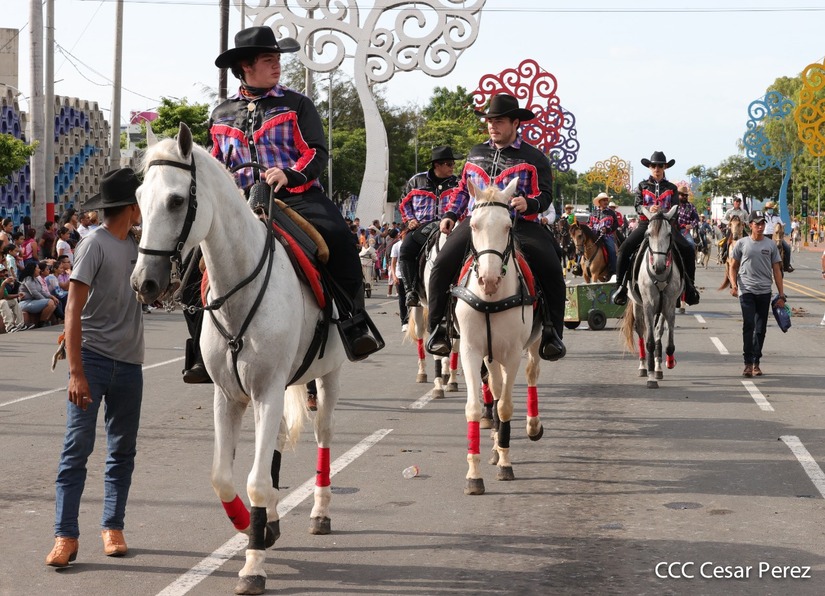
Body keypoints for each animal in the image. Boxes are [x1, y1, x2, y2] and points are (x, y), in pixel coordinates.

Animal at [130, 124, 347, 596]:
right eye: (138, 197)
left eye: (177, 200)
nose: (143, 283)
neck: (240, 288)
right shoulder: (229, 396)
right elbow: (225, 477)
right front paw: (251, 526)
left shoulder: (266, 391)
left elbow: (256, 482)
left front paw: (253, 565)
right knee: (277, 443)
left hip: (328, 375)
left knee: (323, 434)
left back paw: (321, 512)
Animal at [452, 178, 544, 495]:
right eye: (474, 225)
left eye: (507, 226)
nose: (489, 280)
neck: (491, 299)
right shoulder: (470, 350)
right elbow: (474, 406)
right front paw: (474, 474)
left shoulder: (513, 353)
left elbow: (505, 405)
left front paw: (505, 462)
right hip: (490, 354)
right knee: (494, 381)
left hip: (533, 344)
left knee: (531, 374)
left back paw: (532, 425)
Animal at [619, 206, 683, 389]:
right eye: (648, 234)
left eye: (669, 234)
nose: (659, 266)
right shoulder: (648, 305)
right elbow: (649, 342)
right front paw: (651, 377)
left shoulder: (669, 306)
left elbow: (667, 341)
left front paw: (666, 363)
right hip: (637, 305)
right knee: (641, 331)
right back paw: (643, 366)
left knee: (657, 332)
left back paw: (658, 366)